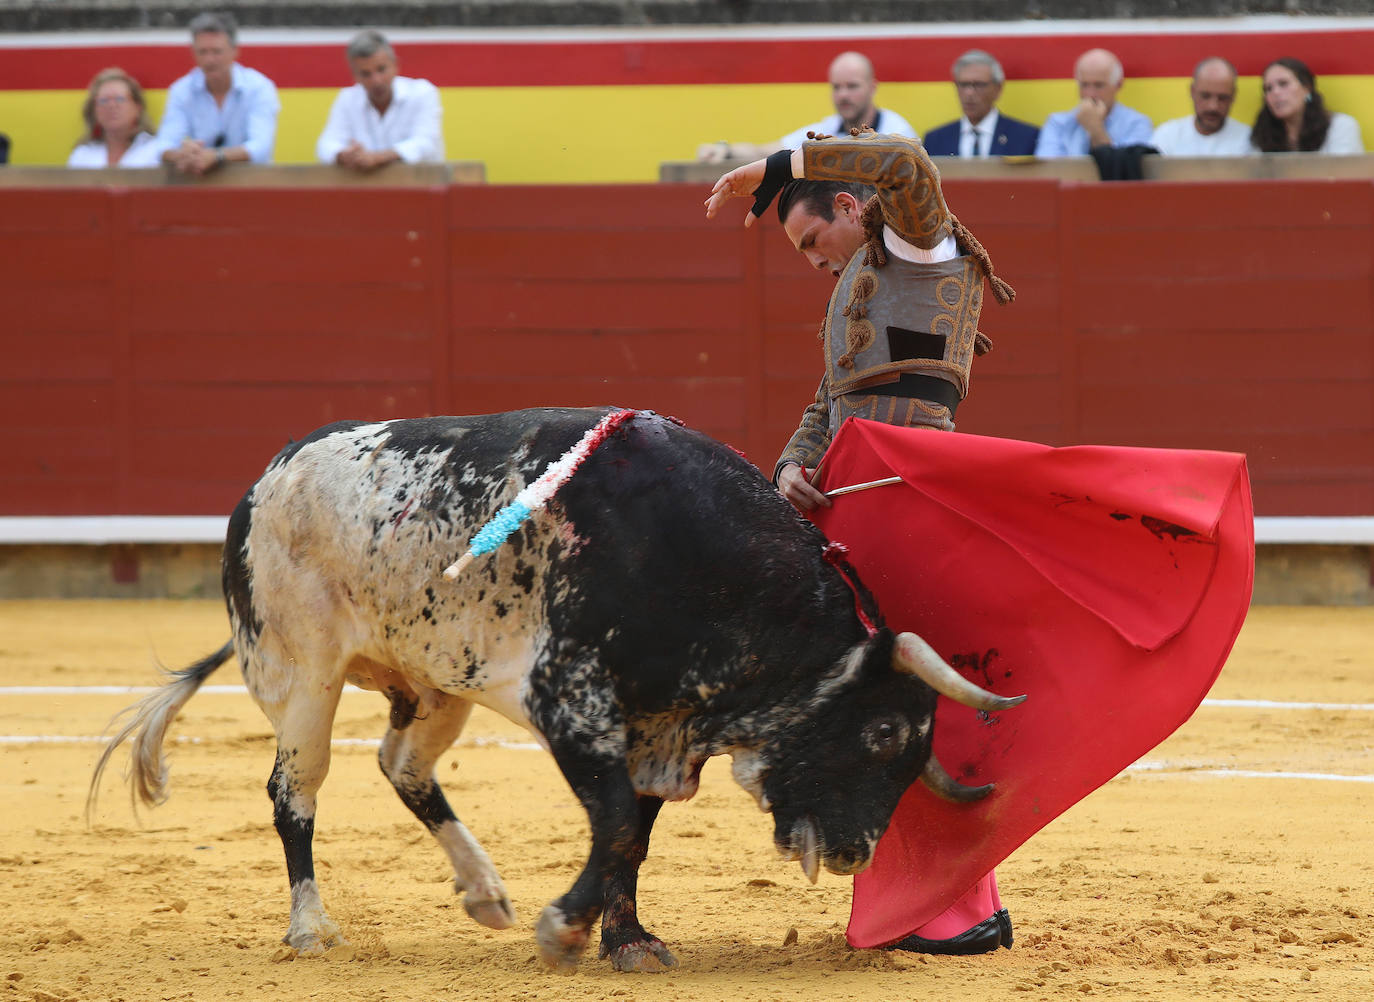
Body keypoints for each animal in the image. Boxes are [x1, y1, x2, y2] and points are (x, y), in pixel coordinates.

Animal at [88, 404, 1022, 967]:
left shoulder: (657, 729)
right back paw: (312, 927)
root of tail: (265, 479)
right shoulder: (570, 700)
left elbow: (632, 837)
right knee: (295, 790)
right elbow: (613, 822)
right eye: (882, 734)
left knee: (403, 766)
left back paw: (485, 892)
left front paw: (627, 940)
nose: (857, 852)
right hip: (303, 671)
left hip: (437, 680)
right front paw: (565, 929)